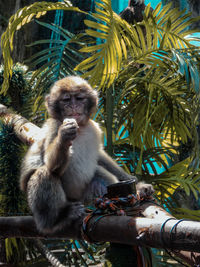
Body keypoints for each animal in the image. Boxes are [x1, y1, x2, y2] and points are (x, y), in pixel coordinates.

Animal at [20, 76, 154, 234]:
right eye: (66, 100)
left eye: (79, 98)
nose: (73, 106)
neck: (80, 129)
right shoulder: (54, 126)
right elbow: (51, 165)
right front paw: (64, 137)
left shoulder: (93, 127)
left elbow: (100, 158)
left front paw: (139, 186)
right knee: (45, 172)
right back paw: (56, 219)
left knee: (99, 173)